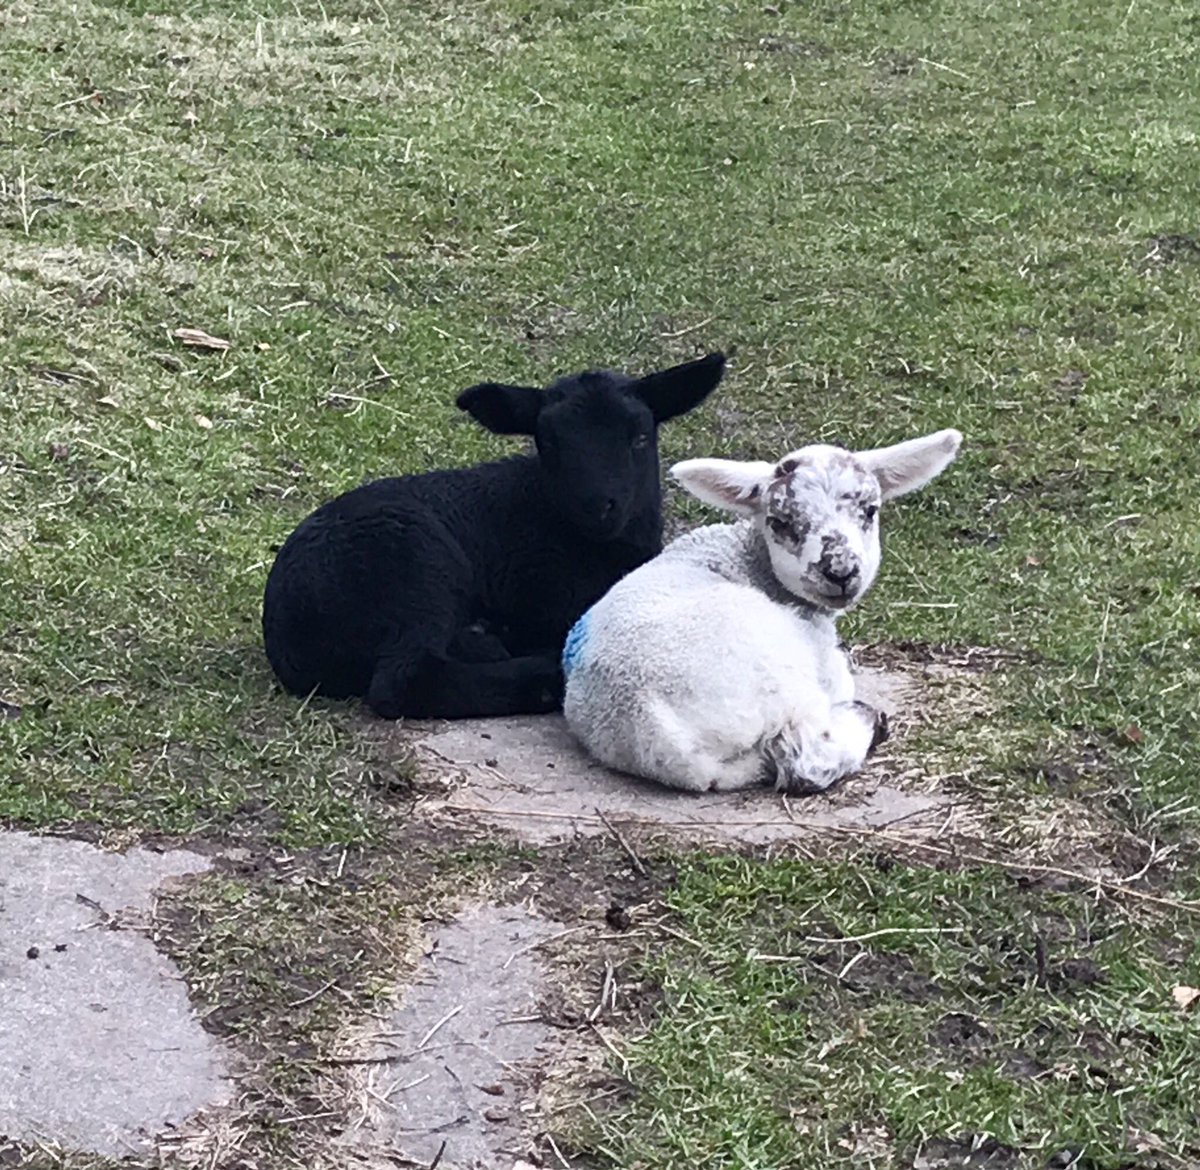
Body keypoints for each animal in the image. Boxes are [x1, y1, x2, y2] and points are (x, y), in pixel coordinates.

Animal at [261, 352, 727, 720]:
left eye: (640, 437)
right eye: (547, 442)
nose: (597, 505)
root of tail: (286, 627)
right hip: (414, 567)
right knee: (406, 681)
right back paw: (541, 674)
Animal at [562, 427, 962, 794]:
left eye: (870, 510)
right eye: (780, 522)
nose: (840, 572)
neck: (748, 558)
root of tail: (659, 729)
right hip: (780, 680)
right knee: (806, 761)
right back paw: (866, 721)